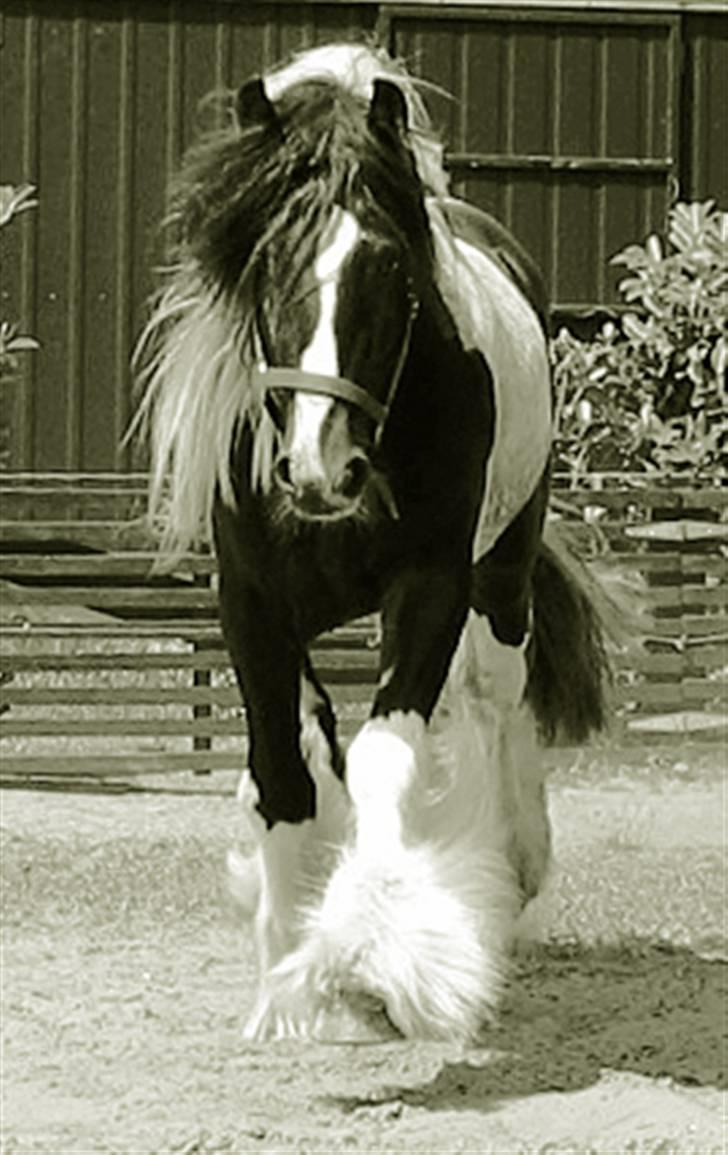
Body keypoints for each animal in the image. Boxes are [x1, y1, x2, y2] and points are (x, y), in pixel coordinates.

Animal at [134, 45, 614, 1044]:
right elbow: (286, 770)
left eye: (390, 270)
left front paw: (396, 954)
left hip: (501, 580)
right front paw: (289, 975)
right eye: (267, 260)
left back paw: (509, 883)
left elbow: (387, 755)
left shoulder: (430, 586)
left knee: (493, 704)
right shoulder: (252, 603)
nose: (323, 468)